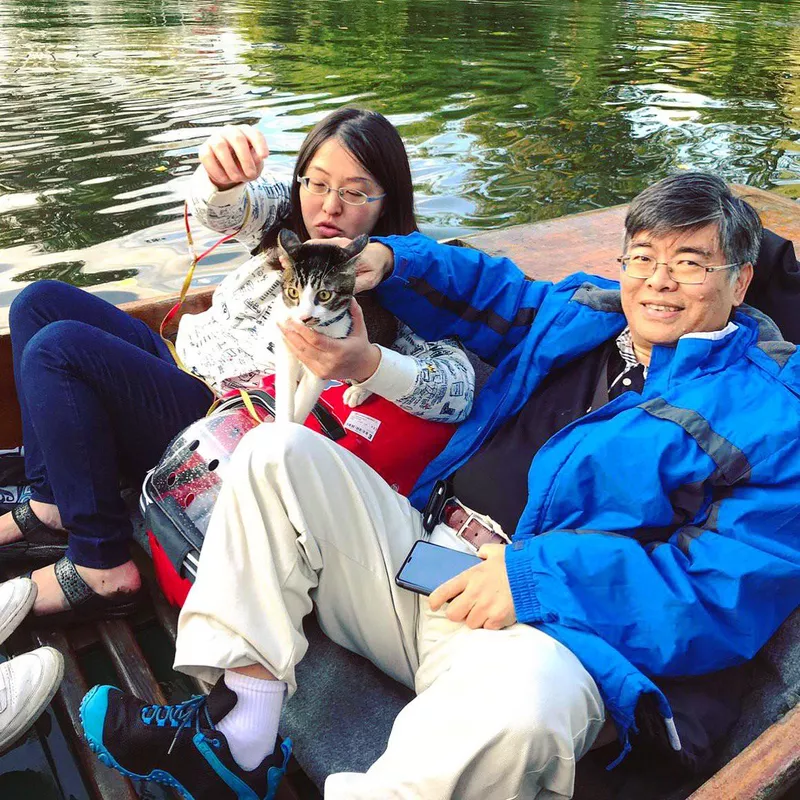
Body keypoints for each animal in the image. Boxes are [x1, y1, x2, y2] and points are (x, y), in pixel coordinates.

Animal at [268, 230, 384, 424]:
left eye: (324, 295)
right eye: (293, 292)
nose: (305, 317)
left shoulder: (326, 361)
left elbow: (306, 397)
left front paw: (294, 428)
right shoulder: (285, 344)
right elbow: (285, 387)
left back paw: (357, 391)